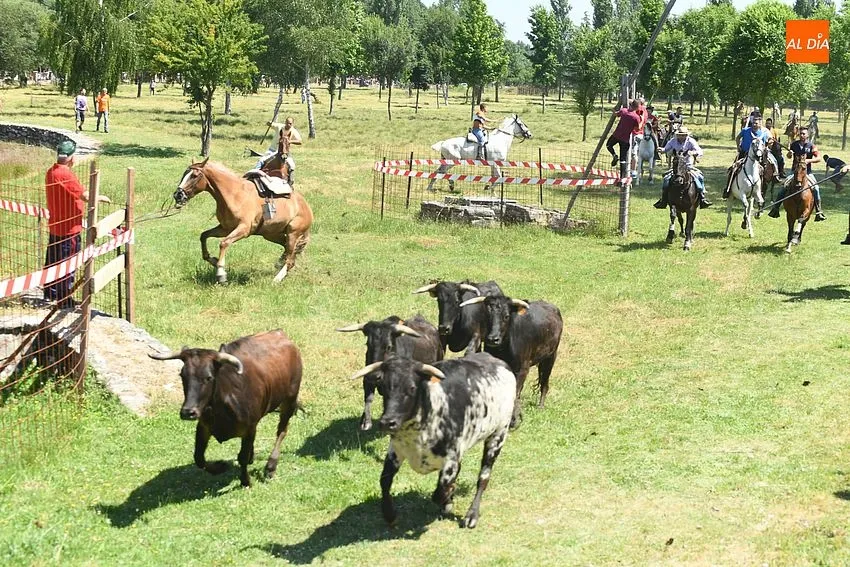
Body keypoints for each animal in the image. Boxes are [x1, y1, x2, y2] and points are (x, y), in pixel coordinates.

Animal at [173, 159, 313, 284]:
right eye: (184, 173)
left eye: (194, 176)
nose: (177, 195)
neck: (235, 195)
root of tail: (307, 207)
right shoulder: (225, 228)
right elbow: (204, 236)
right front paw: (213, 260)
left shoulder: (243, 230)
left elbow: (223, 243)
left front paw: (221, 273)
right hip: (271, 234)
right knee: (288, 251)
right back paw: (279, 265)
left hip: (292, 234)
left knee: (290, 258)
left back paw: (276, 279)